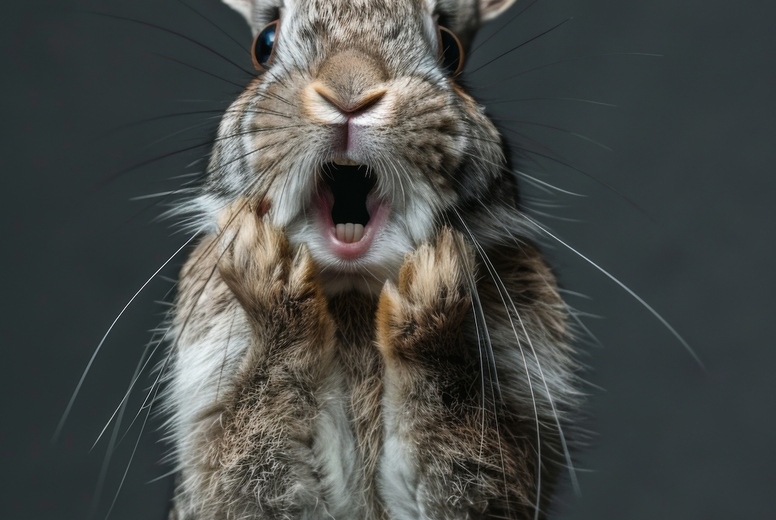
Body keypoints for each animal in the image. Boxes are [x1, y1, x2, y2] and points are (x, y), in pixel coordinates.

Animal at [163, 0, 580, 518]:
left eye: (450, 49)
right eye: (265, 44)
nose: (349, 94)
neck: (355, 287)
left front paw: (432, 282)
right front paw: (264, 265)